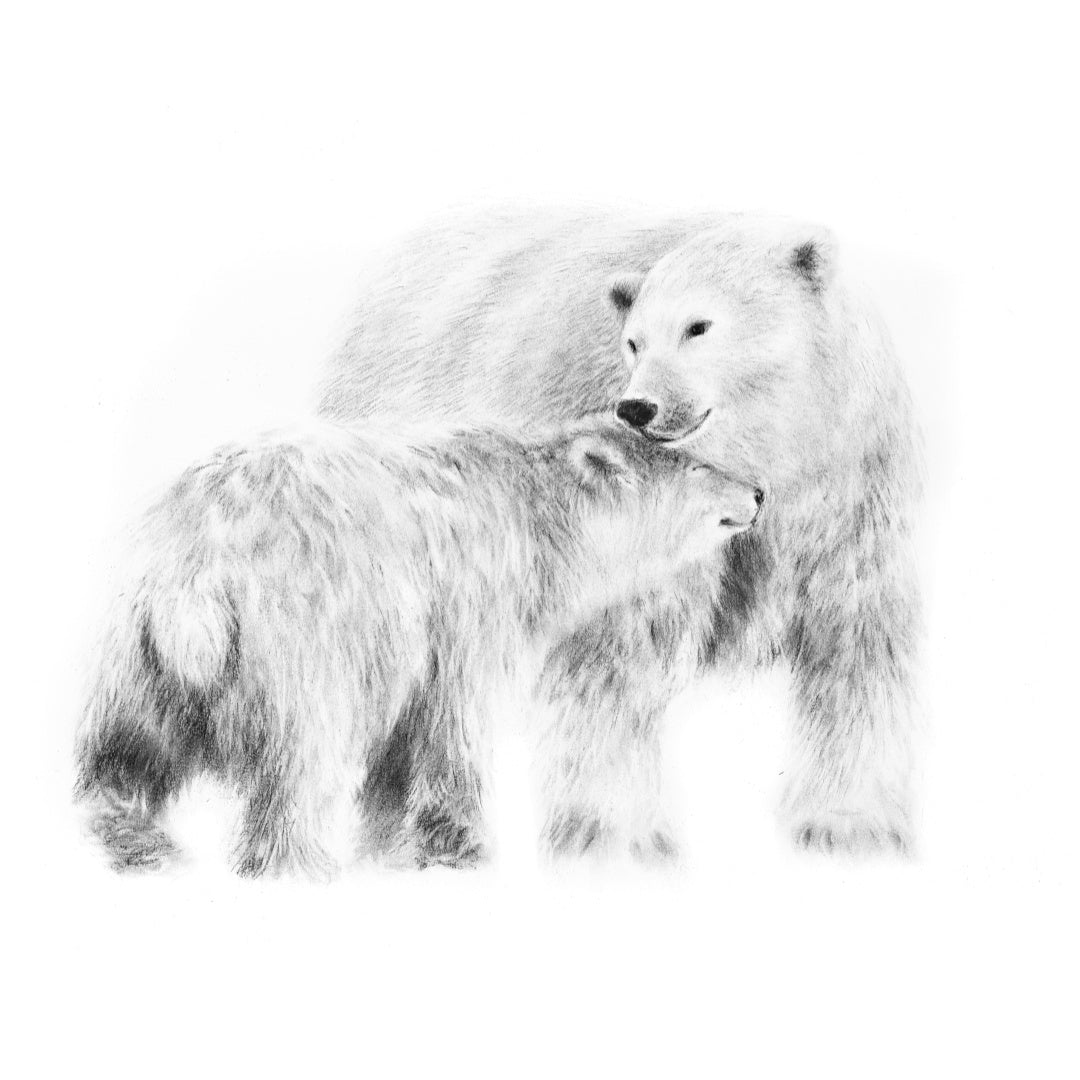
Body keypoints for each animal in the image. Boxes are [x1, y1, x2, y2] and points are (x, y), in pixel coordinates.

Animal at [75, 416, 762, 876]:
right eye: (699, 464)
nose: (758, 492)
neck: (536, 519)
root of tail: (198, 570)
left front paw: (386, 841)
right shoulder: (465, 606)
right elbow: (452, 719)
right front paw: (460, 846)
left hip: (133, 645)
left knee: (125, 750)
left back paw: (131, 839)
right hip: (303, 636)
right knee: (302, 756)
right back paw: (294, 861)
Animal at [319, 207, 922, 857]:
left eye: (699, 326)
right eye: (634, 341)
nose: (637, 407)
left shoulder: (849, 493)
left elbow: (856, 643)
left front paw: (850, 823)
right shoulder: (637, 516)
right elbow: (618, 655)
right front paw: (618, 833)